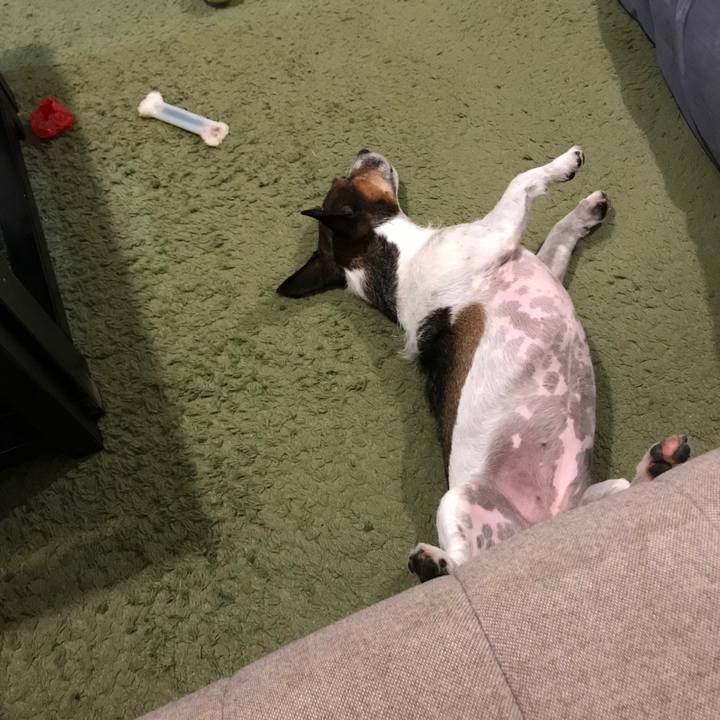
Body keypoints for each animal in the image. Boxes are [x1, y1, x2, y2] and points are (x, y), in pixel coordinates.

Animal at [277, 148, 691, 582]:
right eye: (345, 180)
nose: (362, 151)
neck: (396, 259)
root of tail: (540, 527)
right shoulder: (497, 233)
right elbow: (523, 179)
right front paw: (563, 165)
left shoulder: (536, 261)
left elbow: (557, 233)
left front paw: (584, 211)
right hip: (458, 500)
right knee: (465, 564)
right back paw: (433, 562)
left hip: (604, 496)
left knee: (630, 490)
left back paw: (659, 463)